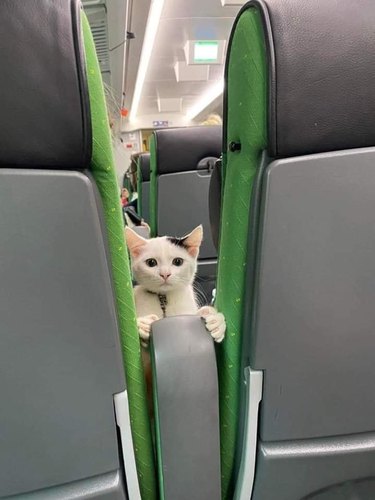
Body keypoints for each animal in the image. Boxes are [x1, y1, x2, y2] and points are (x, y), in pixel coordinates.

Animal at [125, 225, 226, 400]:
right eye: (151, 262)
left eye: (177, 261)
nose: (165, 274)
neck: (163, 300)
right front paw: (142, 325)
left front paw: (215, 321)